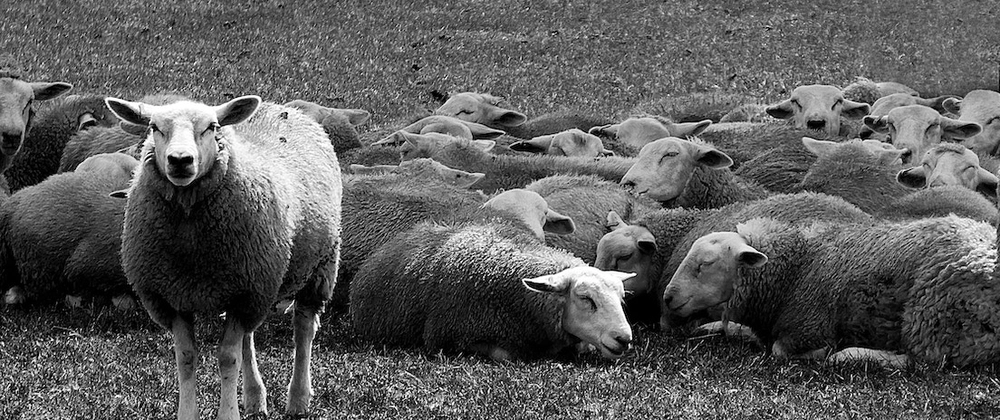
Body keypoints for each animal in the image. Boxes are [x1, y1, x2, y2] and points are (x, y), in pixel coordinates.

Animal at [106, 96, 341, 419]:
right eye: (154, 127)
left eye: (211, 127)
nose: (180, 160)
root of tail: (279, 106)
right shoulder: (174, 296)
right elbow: (186, 358)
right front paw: (188, 413)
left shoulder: (244, 293)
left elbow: (228, 357)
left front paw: (227, 413)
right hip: (255, 285)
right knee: (249, 339)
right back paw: (255, 398)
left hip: (318, 267)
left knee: (303, 330)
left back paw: (298, 399)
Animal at [663, 215, 1000, 368]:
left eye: (705, 264)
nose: (667, 297)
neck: (795, 269)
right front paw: (716, 328)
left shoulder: (810, 327)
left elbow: (780, 350)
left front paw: (824, 353)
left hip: (932, 318)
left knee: (923, 361)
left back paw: (854, 354)